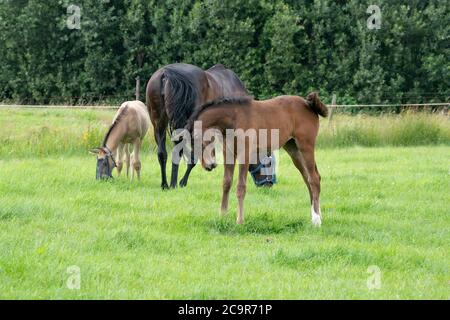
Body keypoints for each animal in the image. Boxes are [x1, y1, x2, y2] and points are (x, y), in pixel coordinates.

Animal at [146, 62, 248, 190]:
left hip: (159, 124)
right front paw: (182, 182)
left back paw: (165, 184)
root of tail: (166, 73)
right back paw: (174, 183)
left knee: (162, 153)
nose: (212, 165)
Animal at [185, 93, 328, 225]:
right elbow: (226, 183)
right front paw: (223, 216)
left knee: (313, 179)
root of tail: (308, 104)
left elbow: (240, 186)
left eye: (198, 142)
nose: (209, 166)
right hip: (293, 149)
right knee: (308, 178)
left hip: (306, 146)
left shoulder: (245, 154)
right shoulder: (229, 154)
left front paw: (240, 221)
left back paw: (316, 220)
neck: (234, 119)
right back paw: (317, 215)